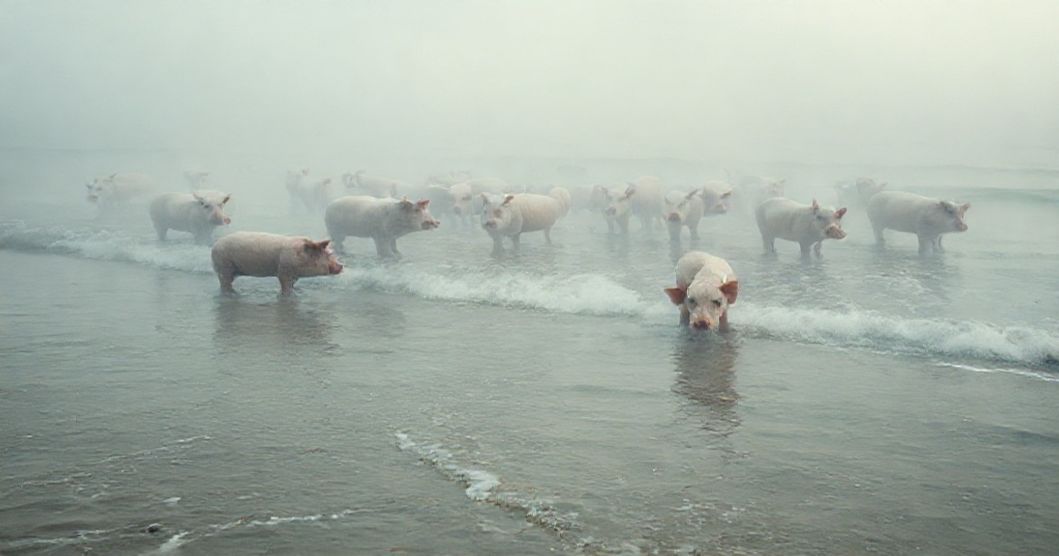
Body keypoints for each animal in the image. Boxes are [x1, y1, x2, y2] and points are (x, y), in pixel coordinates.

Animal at [211, 232, 343, 295]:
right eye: (328, 255)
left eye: (330, 253)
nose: (341, 266)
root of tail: (214, 246)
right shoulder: (284, 271)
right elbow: (285, 286)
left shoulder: (295, 275)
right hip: (223, 266)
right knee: (225, 283)